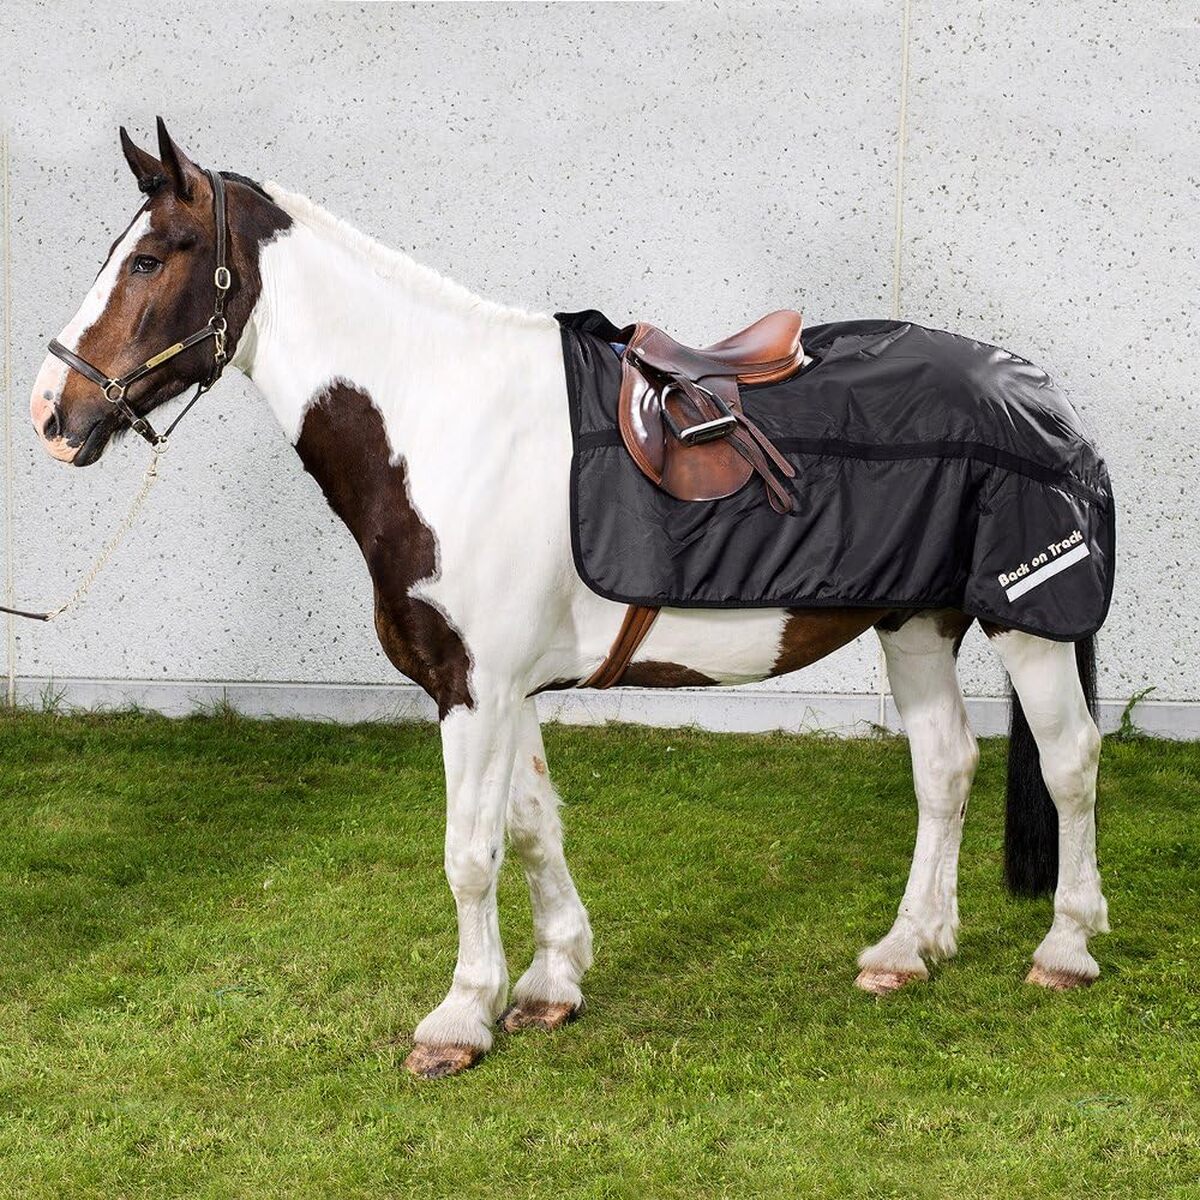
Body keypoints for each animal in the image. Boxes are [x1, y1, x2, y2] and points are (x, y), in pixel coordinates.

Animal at [29, 121, 1109, 1080]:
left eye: (150, 260)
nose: (51, 411)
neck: (446, 424)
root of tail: (1042, 393)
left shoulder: (476, 690)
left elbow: (470, 853)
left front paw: (460, 1019)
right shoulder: (495, 687)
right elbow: (531, 828)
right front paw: (551, 983)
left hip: (1025, 624)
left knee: (1070, 764)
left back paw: (1065, 949)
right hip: (915, 621)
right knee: (945, 767)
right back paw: (908, 949)